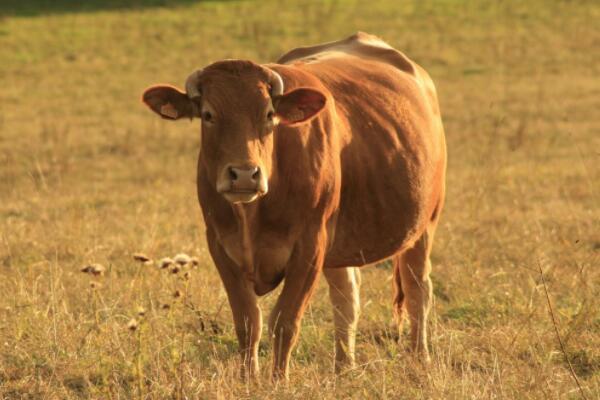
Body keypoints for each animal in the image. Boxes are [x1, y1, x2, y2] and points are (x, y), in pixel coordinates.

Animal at [143, 32, 446, 380]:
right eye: (208, 114)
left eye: (268, 114)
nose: (244, 174)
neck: (253, 213)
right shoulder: (220, 245)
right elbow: (248, 322)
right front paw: (249, 380)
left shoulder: (309, 247)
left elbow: (285, 322)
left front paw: (278, 381)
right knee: (347, 298)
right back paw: (343, 367)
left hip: (424, 225)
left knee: (417, 289)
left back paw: (419, 359)